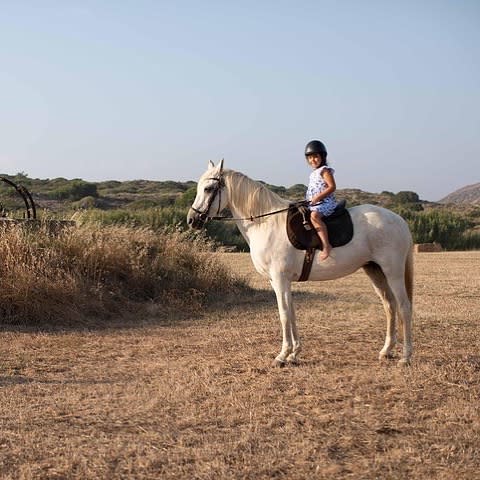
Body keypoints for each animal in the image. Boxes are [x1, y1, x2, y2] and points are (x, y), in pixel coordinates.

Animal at [187, 160, 414, 366]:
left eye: (208, 189)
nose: (192, 220)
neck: (265, 223)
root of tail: (399, 220)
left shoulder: (280, 279)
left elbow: (284, 314)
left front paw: (282, 356)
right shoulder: (278, 281)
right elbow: (291, 313)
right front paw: (294, 354)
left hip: (392, 272)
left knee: (404, 307)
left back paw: (405, 357)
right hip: (374, 271)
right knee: (390, 306)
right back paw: (386, 351)